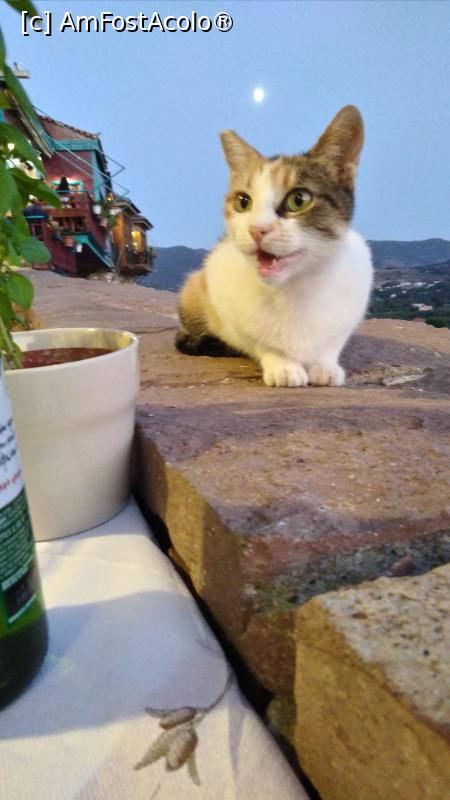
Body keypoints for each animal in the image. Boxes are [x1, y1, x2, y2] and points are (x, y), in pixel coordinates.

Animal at [176, 105, 373, 387]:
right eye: (243, 201)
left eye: (299, 199)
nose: (257, 229)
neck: (297, 289)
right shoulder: (222, 290)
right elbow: (259, 341)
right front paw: (283, 365)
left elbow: (332, 342)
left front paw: (324, 365)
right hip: (194, 289)